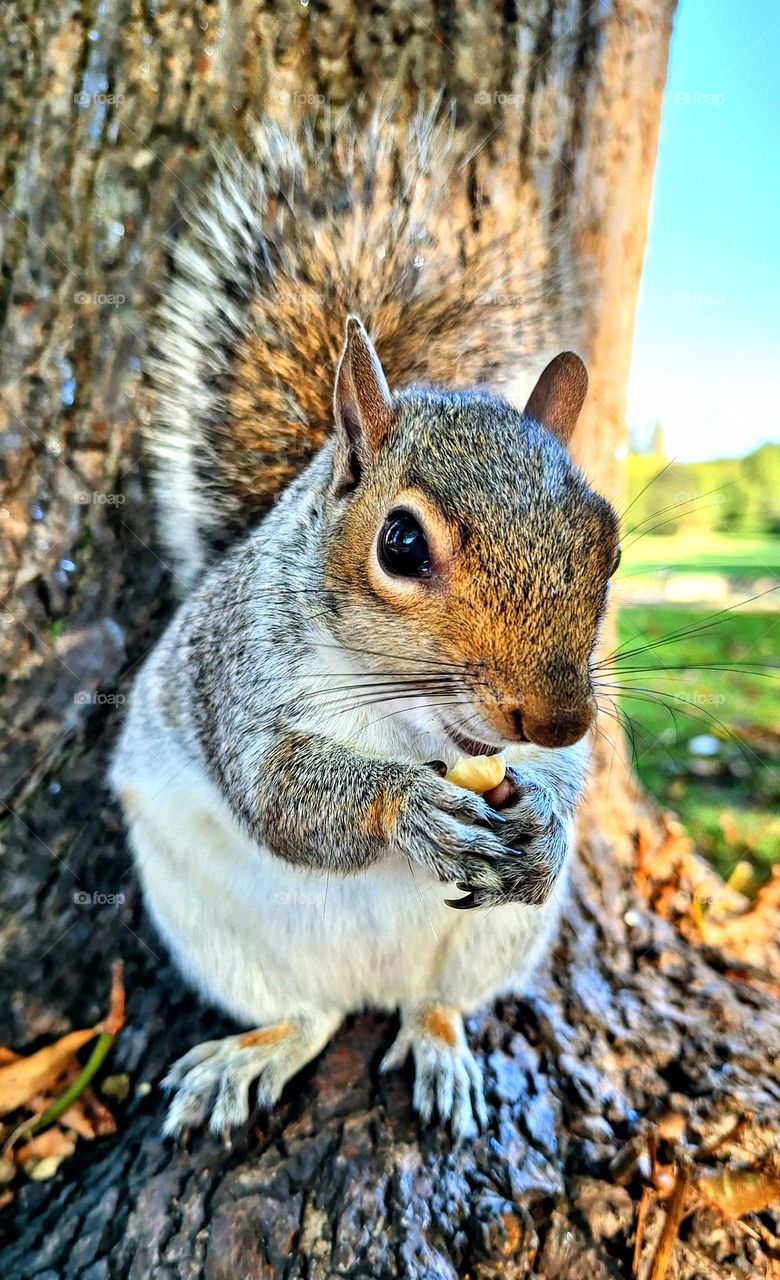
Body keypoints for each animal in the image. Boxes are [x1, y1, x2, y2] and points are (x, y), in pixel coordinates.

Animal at [110, 112, 619, 1141]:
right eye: (400, 543)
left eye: (610, 545)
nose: (552, 720)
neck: (411, 725)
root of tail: (372, 983)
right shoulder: (241, 676)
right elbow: (279, 794)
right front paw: (409, 809)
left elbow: (566, 781)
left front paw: (547, 818)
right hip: (214, 934)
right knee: (308, 1018)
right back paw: (253, 1054)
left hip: (498, 938)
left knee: (433, 1005)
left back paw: (440, 1045)